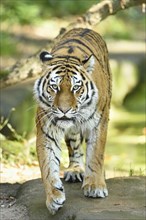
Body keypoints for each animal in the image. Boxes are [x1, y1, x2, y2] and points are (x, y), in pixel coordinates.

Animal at [34, 27, 112, 215]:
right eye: (54, 87)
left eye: (76, 88)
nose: (64, 110)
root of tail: (84, 28)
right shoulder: (47, 131)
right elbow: (48, 165)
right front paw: (54, 197)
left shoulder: (99, 124)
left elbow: (96, 154)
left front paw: (95, 186)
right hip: (72, 132)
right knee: (75, 148)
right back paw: (75, 170)